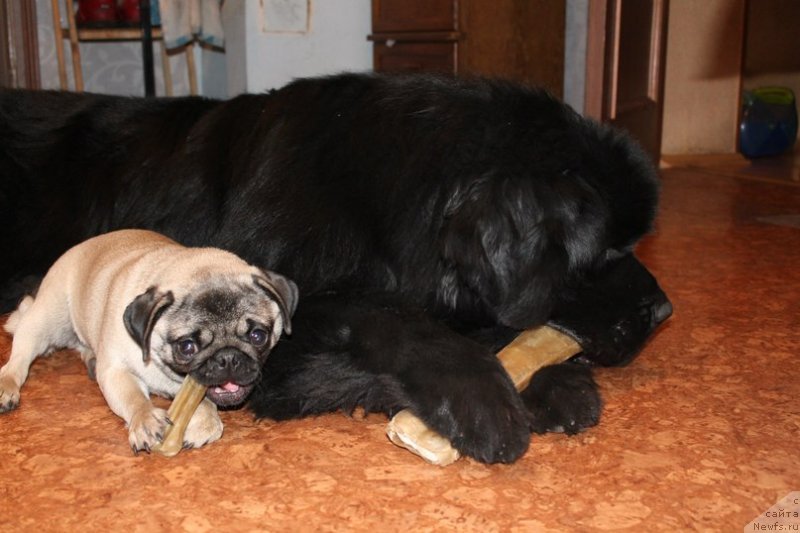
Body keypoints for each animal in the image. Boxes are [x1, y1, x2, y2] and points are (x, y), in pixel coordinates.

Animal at [1, 71, 668, 462]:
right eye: (606, 250)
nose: (663, 311)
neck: (388, 199)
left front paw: (554, 379)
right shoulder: (284, 322)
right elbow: (387, 317)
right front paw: (480, 396)